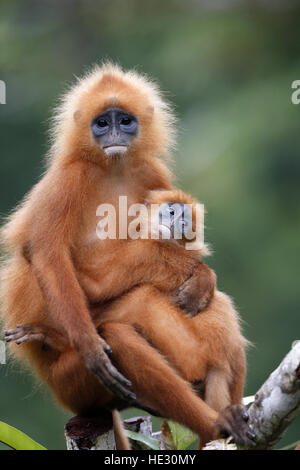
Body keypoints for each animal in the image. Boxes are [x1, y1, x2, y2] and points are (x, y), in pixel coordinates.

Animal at [0, 63, 253, 448]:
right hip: (71, 382)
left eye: (125, 120)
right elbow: (44, 253)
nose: (115, 133)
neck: (113, 167)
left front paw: (201, 277)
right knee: (120, 327)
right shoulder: (70, 176)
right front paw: (91, 346)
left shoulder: (151, 173)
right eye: (103, 123)